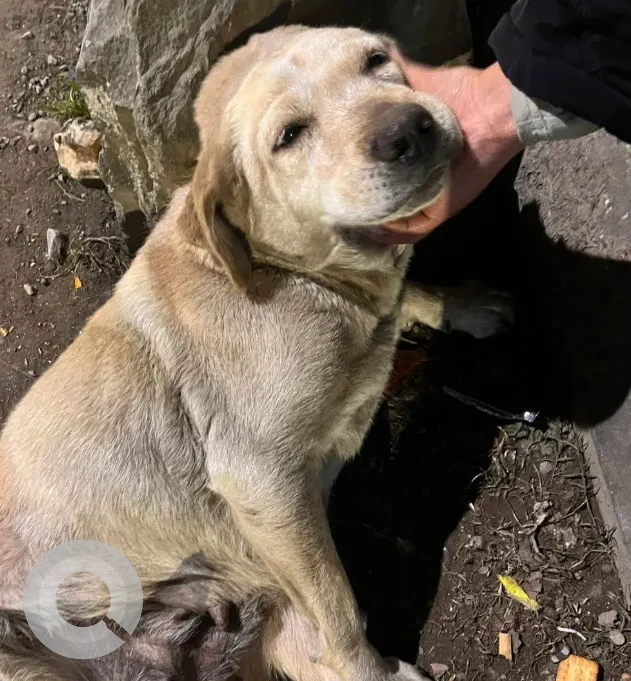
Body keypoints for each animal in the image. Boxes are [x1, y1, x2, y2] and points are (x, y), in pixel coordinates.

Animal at [0, 25, 511, 681]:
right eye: (289, 135)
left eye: (377, 60)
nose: (408, 129)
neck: (292, 276)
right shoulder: (262, 480)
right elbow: (338, 605)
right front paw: (369, 665)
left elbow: (407, 286)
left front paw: (457, 303)